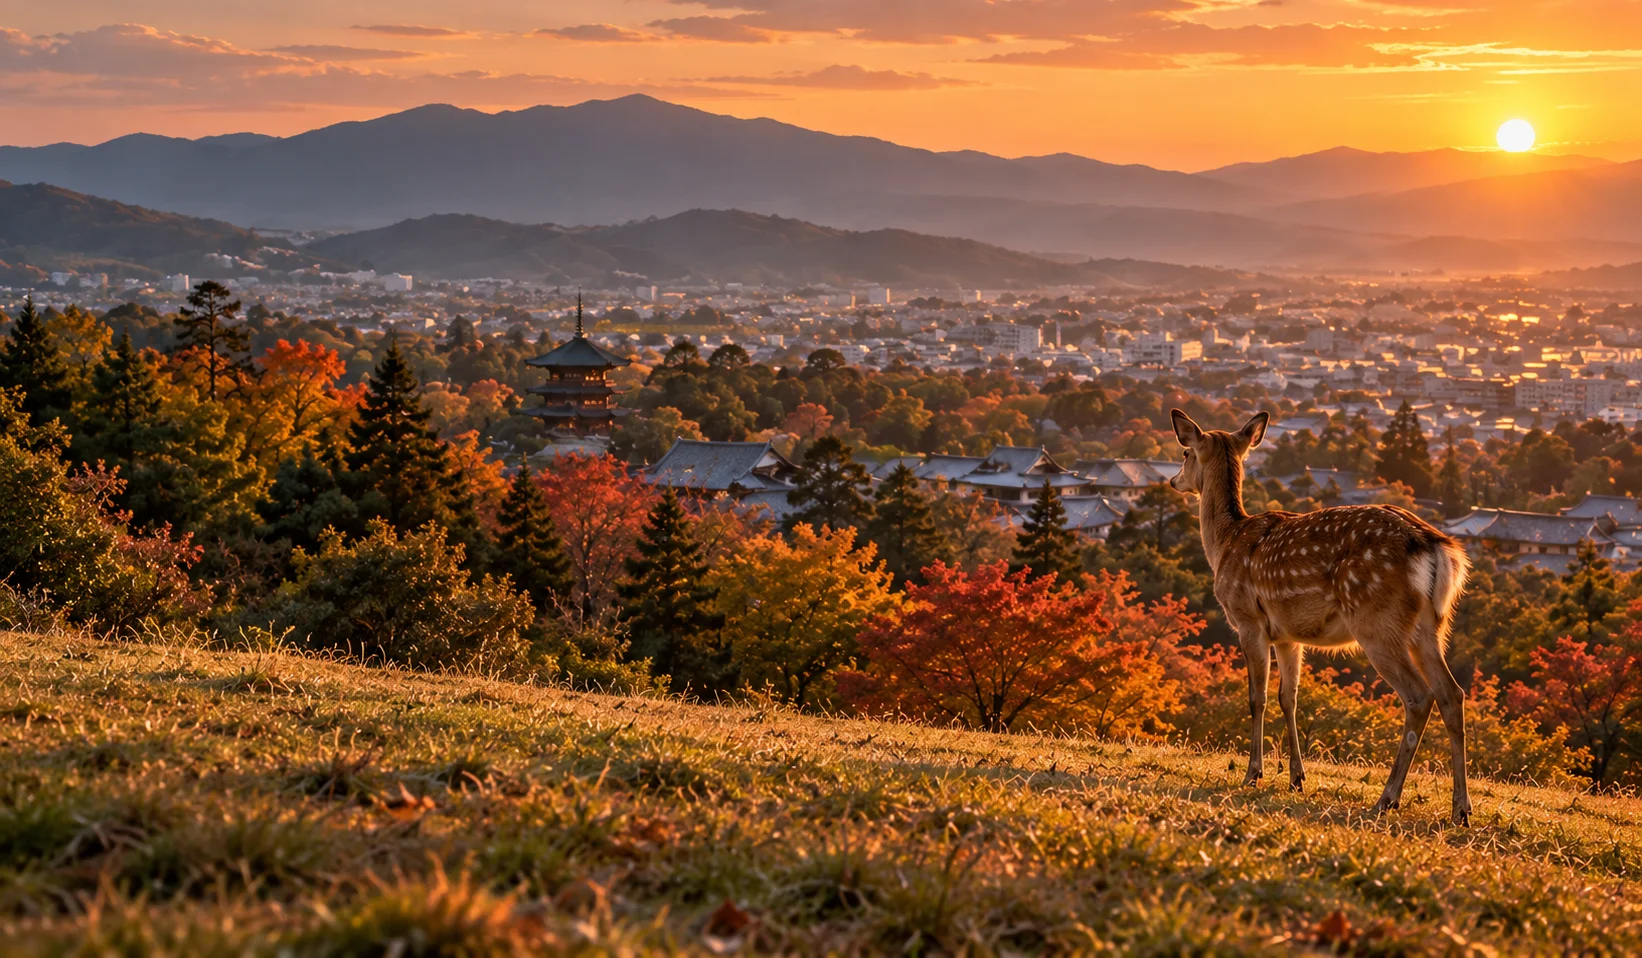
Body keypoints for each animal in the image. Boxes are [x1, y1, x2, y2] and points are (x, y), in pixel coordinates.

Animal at [1168, 409, 1474, 824]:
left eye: (1185, 452)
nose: (1173, 480)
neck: (1224, 543)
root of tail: (1438, 549)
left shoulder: (1247, 620)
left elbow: (1257, 697)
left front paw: (1253, 773)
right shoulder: (1287, 635)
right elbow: (1289, 698)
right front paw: (1297, 778)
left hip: (1377, 621)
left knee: (1419, 697)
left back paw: (1387, 798)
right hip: (1431, 625)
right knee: (1451, 694)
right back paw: (1461, 809)